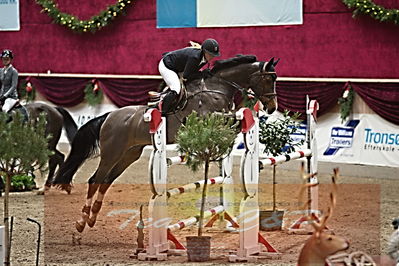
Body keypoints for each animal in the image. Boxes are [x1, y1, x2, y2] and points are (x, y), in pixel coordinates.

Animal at [51, 55, 280, 232]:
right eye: (269, 79)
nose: (271, 107)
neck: (217, 88)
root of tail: (109, 116)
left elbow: (233, 121)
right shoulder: (206, 117)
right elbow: (228, 117)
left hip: (128, 155)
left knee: (106, 181)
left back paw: (92, 218)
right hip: (111, 153)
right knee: (94, 180)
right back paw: (81, 221)